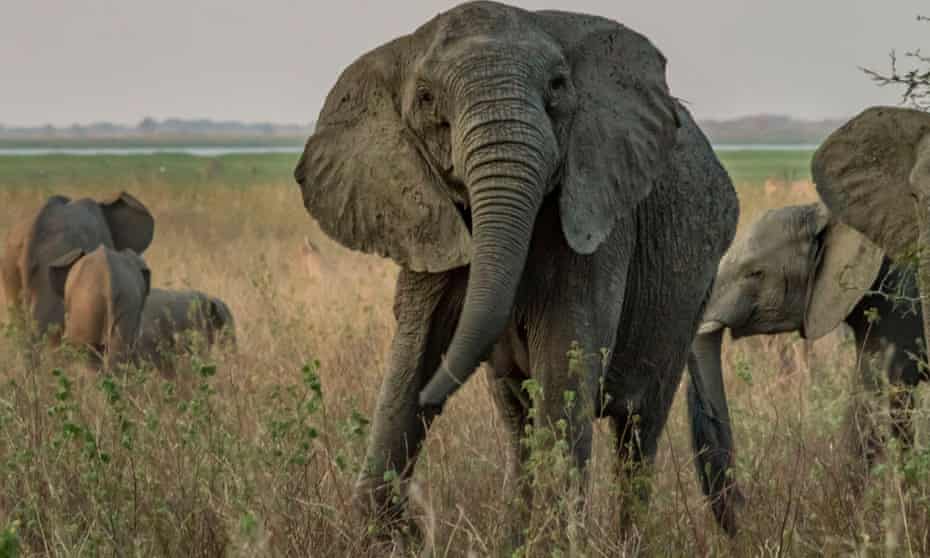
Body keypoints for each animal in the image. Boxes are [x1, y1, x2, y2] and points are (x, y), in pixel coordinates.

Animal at [294, 1, 739, 536]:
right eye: (425, 99)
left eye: (558, 87)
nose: (432, 398)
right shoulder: (426, 217)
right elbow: (415, 345)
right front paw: (379, 533)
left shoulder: (596, 208)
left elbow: (565, 352)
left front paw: (556, 538)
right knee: (516, 418)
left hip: (692, 289)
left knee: (638, 426)